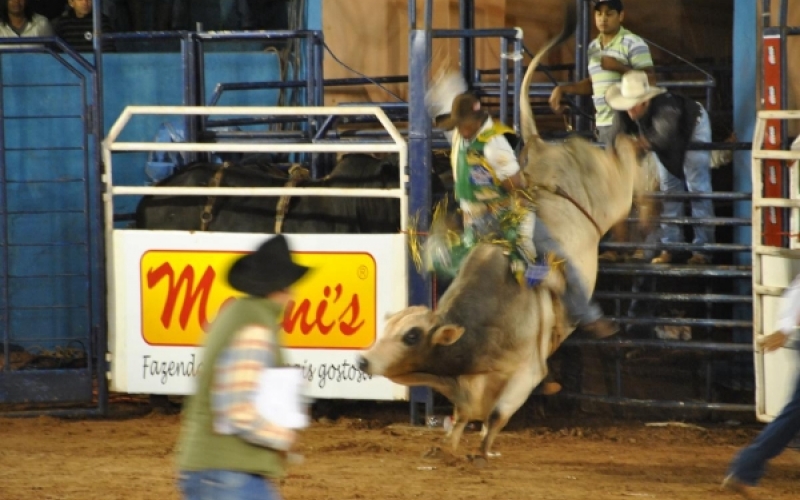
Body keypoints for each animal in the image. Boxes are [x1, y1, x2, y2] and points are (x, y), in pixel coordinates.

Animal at [356, 1, 648, 458]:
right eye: (387, 328)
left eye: (412, 336)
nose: (363, 360)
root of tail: (542, 148)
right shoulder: (470, 387)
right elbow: (464, 413)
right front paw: (449, 443)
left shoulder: (525, 373)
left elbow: (496, 414)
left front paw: (482, 449)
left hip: (610, 190)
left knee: (623, 157)